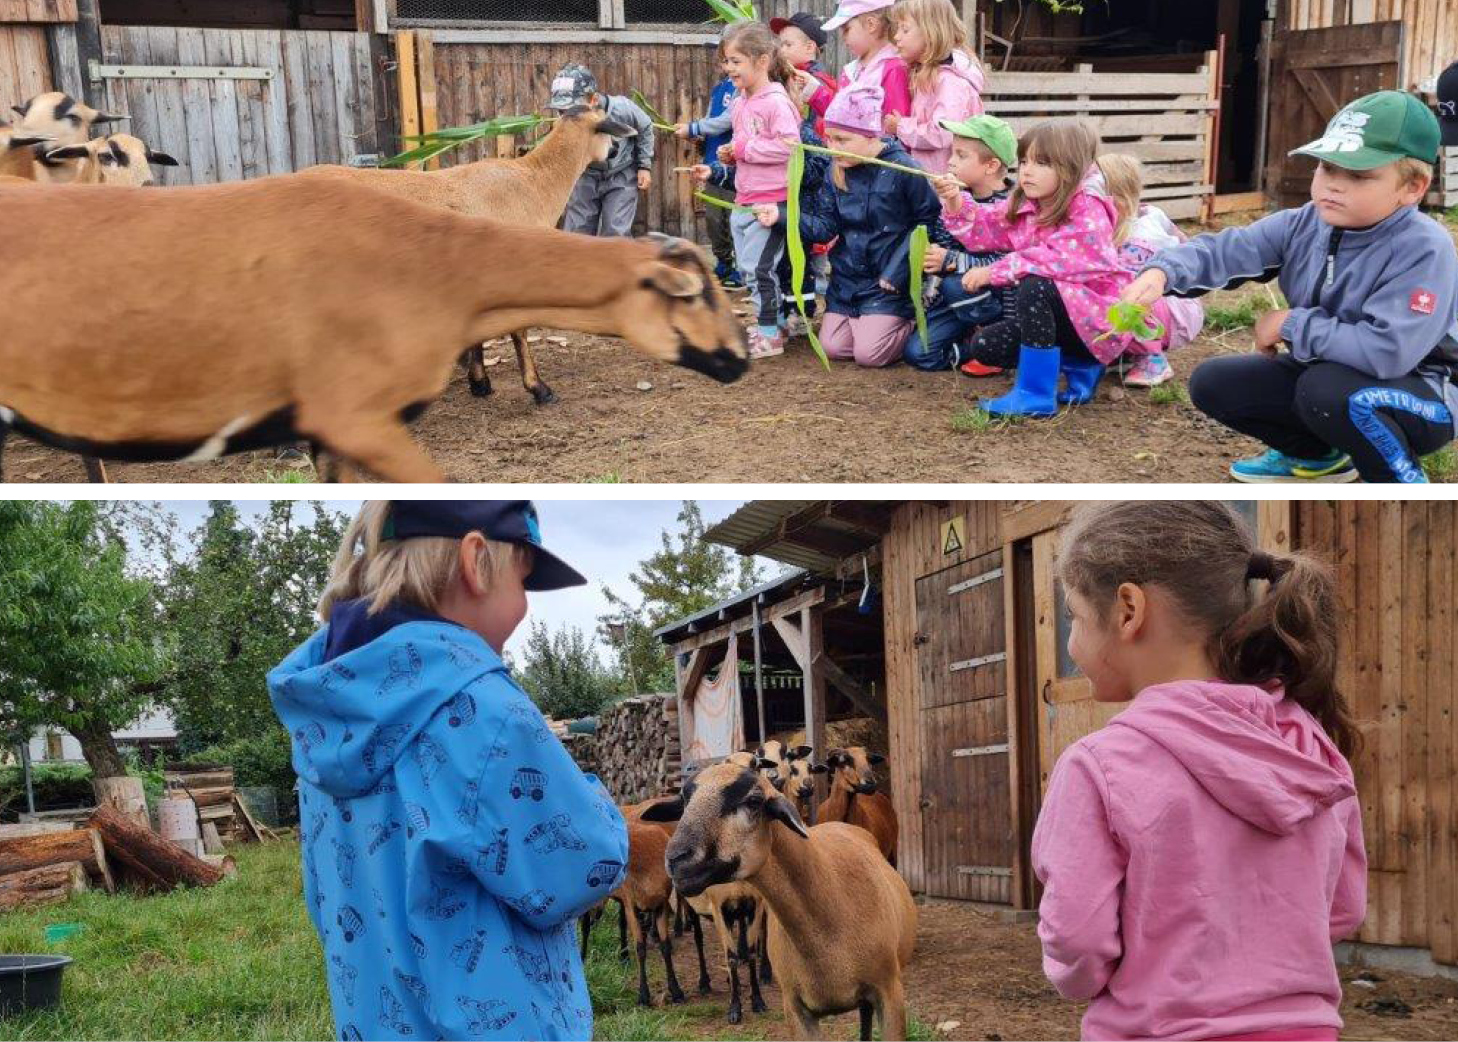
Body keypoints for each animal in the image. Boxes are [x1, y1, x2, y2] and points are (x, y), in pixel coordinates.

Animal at [298, 104, 629, 408]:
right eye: (607, 127)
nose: (615, 152)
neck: (536, 181)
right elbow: (519, 330)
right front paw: (539, 389)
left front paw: (480, 383)